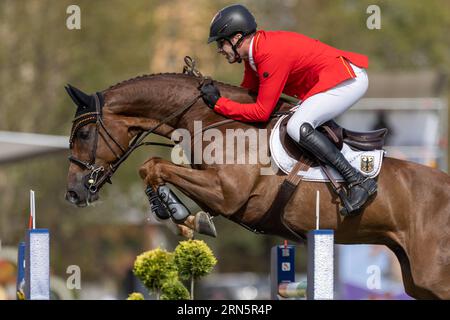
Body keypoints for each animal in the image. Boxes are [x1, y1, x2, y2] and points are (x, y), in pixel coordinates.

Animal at [65, 74, 450, 298]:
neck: (213, 119)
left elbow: (155, 165)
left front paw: (185, 216)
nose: (74, 193)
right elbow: (152, 168)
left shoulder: (227, 194)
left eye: (83, 134)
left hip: (433, 277)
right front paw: (177, 214)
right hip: (418, 282)